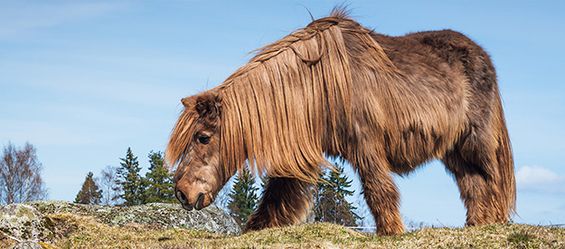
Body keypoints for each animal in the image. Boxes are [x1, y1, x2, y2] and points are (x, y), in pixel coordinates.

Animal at [165, 8, 512, 235]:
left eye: (203, 137)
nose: (182, 193)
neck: (317, 87)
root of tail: (482, 56)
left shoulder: (366, 144)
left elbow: (378, 190)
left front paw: (392, 232)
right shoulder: (301, 150)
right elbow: (278, 195)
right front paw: (255, 229)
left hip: (475, 142)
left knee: (490, 180)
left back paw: (492, 223)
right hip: (454, 151)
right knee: (473, 185)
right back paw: (476, 225)